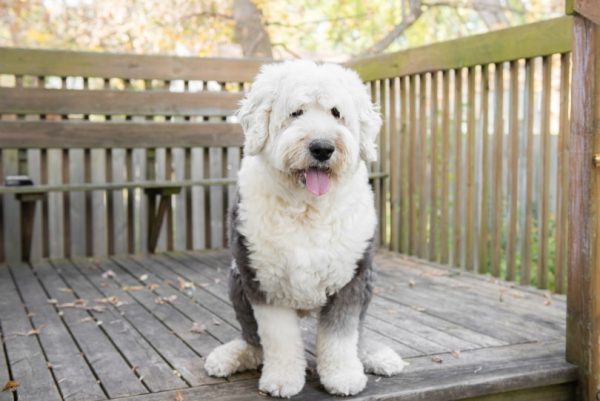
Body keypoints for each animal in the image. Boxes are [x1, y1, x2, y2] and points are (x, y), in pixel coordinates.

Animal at [204, 60, 406, 396]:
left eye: (336, 112)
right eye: (296, 112)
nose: (322, 148)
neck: (308, 208)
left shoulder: (350, 280)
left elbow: (341, 335)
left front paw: (343, 376)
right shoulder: (264, 281)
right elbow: (279, 339)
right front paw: (283, 380)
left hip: (367, 282)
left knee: (359, 332)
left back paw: (374, 356)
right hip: (237, 279)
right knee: (253, 338)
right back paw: (233, 355)